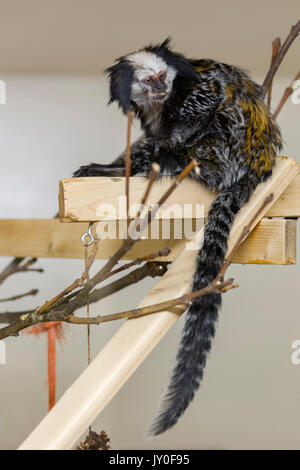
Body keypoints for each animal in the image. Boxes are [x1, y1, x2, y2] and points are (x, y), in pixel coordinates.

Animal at [74, 38, 282, 436]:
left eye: (162, 77)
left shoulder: (196, 91)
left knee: (203, 133)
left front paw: (160, 146)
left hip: (222, 152)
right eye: (148, 81)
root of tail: (258, 166)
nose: (160, 88)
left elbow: (206, 106)